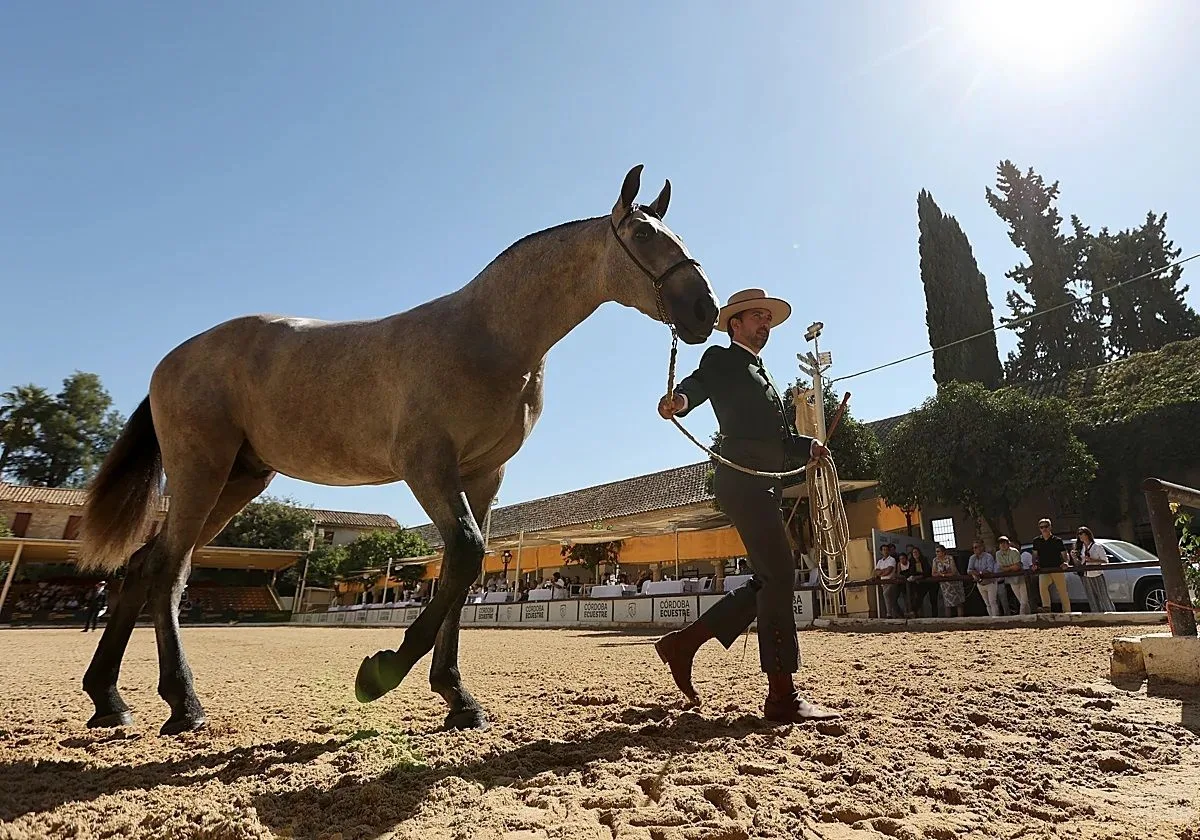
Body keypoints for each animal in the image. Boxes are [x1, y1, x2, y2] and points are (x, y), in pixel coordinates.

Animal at [76, 165, 720, 735]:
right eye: (643, 235)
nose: (704, 311)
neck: (490, 335)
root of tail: (173, 359)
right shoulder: (427, 467)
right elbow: (463, 552)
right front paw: (380, 674)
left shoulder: (484, 475)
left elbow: (466, 571)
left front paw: (457, 699)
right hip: (201, 470)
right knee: (166, 569)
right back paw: (183, 704)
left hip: (239, 479)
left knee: (147, 566)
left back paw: (110, 699)